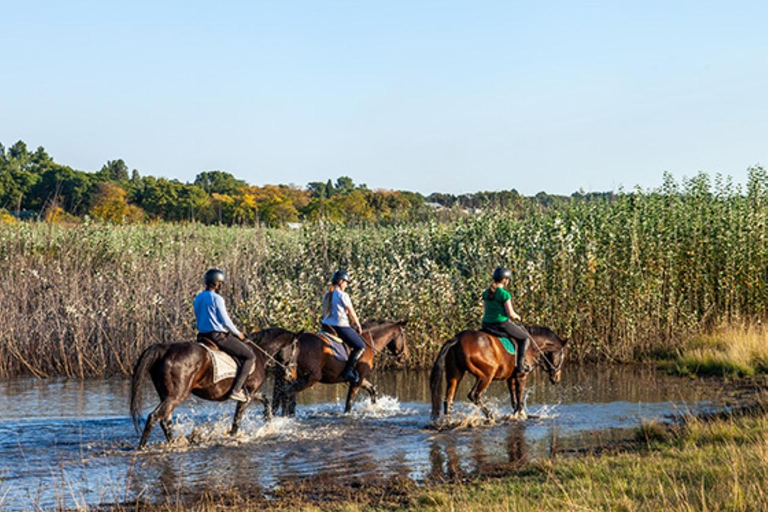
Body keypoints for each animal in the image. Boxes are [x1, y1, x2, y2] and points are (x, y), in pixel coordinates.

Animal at [130, 328, 298, 448]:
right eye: (295, 348)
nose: (292, 376)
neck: (259, 353)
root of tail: (165, 349)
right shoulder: (248, 396)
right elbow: (237, 420)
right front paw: (233, 437)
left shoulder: (252, 393)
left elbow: (266, 401)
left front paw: (268, 424)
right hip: (176, 396)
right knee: (154, 417)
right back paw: (142, 448)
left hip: (166, 396)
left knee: (165, 422)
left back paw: (175, 443)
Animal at [272, 320, 412, 416]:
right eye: (405, 336)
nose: (405, 356)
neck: (367, 341)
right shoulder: (357, 380)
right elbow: (349, 403)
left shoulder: (359, 378)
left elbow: (372, 390)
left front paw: (374, 408)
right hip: (309, 378)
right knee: (287, 394)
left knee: (284, 397)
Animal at [428, 326, 568, 422]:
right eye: (562, 356)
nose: (557, 379)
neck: (532, 345)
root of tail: (457, 339)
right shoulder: (521, 376)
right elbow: (520, 398)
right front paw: (521, 415)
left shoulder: (511, 378)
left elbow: (514, 399)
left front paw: (515, 415)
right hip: (486, 375)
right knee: (474, 395)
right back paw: (490, 416)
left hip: (454, 376)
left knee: (448, 400)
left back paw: (448, 422)